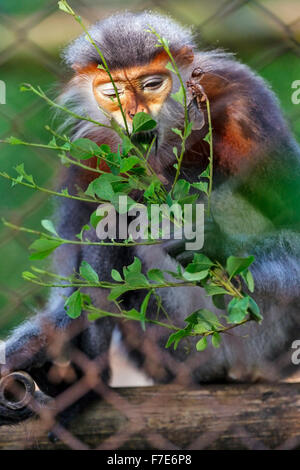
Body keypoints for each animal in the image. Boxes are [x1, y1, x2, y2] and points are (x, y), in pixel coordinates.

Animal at [0, 10, 300, 430]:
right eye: (112, 94)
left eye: (152, 85)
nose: (134, 115)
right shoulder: (88, 151)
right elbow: (68, 295)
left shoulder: (247, 102)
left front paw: (210, 241)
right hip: (168, 350)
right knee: (110, 223)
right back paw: (82, 382)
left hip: (262, 339)